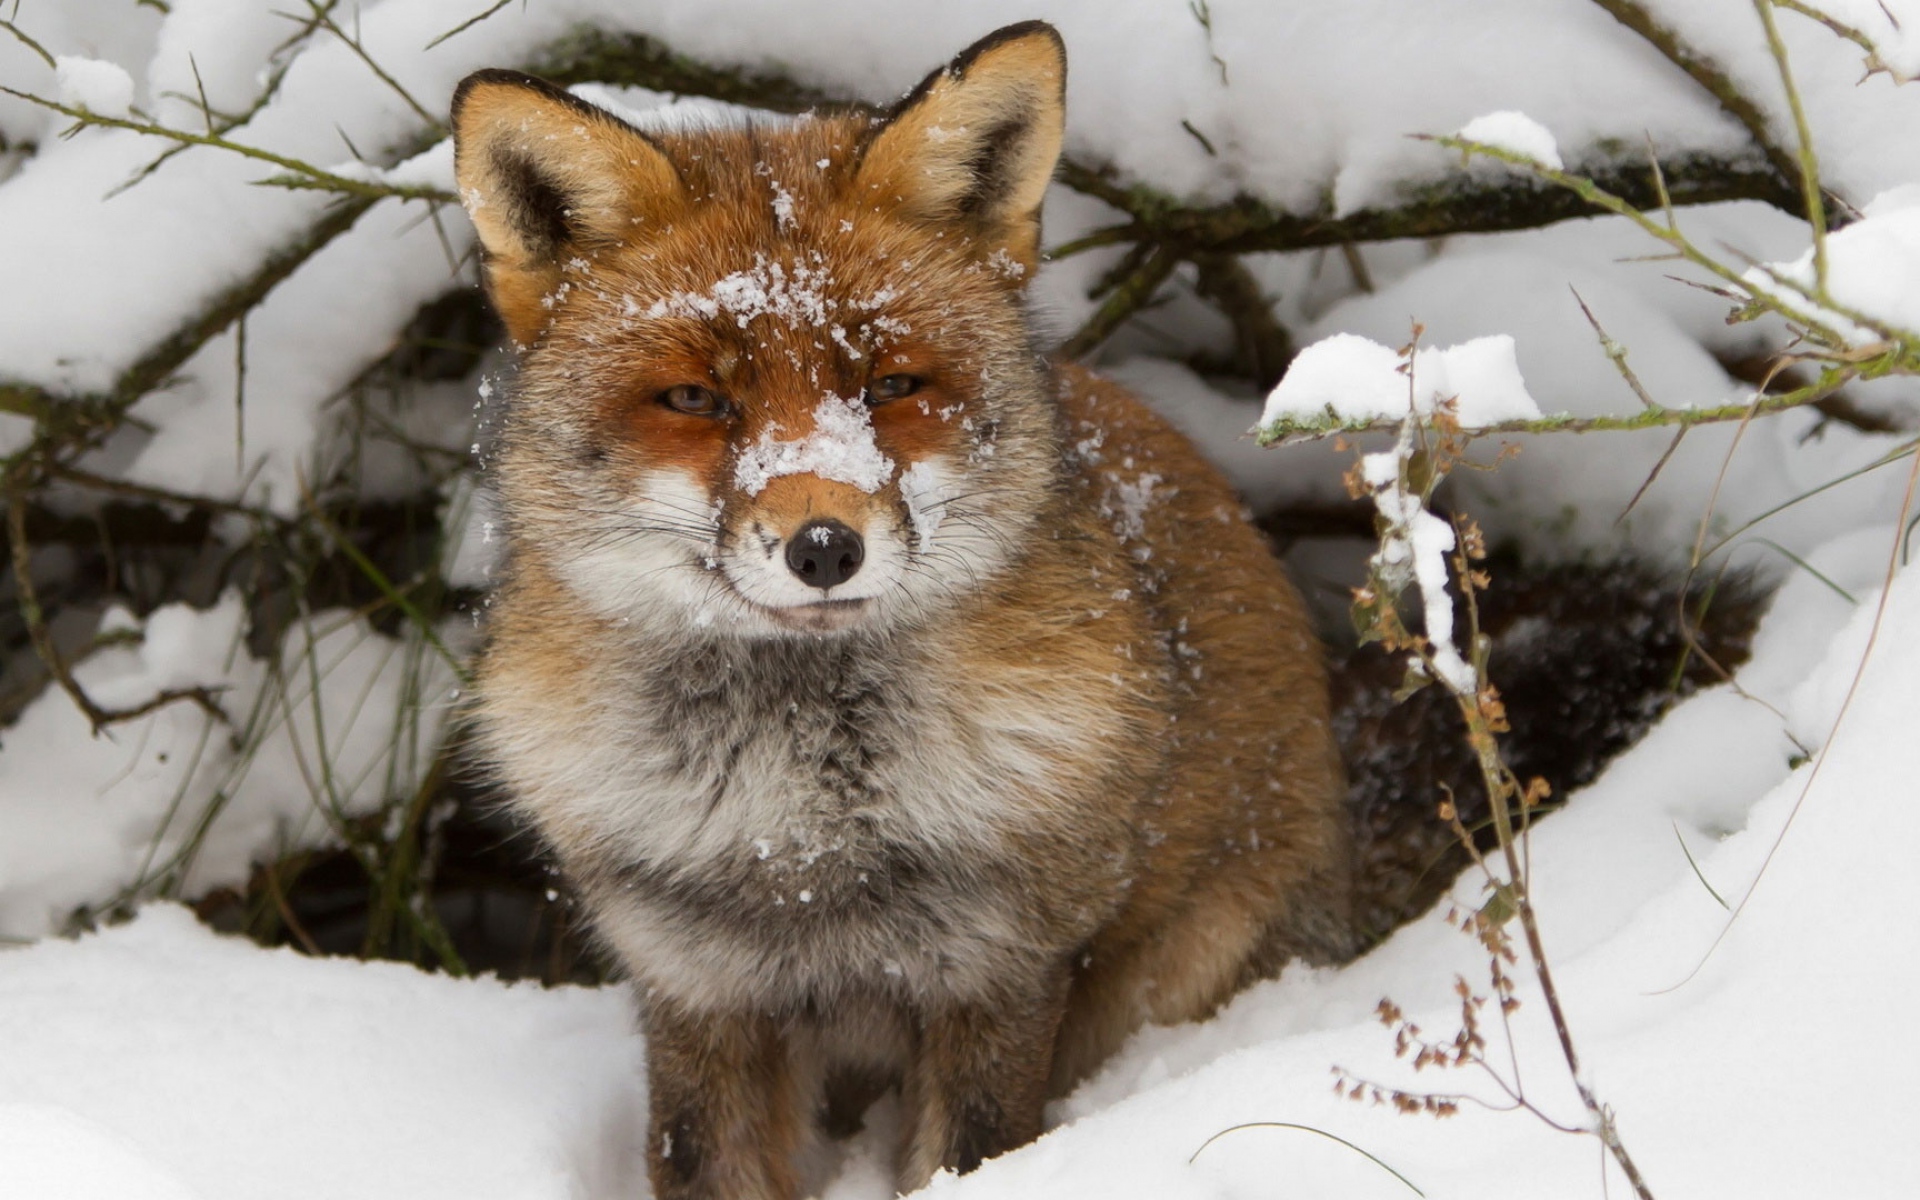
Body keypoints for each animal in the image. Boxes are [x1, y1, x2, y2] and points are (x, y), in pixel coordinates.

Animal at [455, 21, 1354, 1199]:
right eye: (696, 398)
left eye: (889, 385)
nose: (824, 548)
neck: (803, 838)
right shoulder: (694, 984)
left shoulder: (997, 968)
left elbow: (967, 1155)